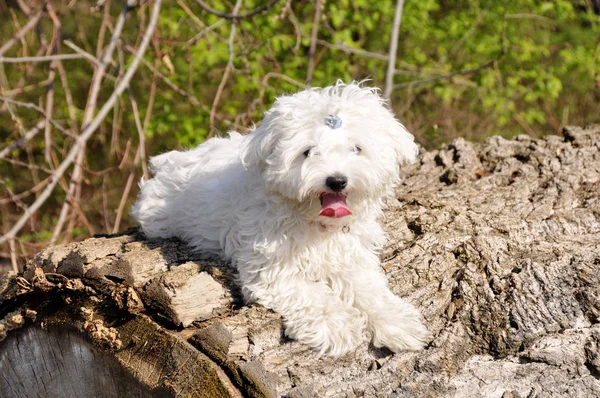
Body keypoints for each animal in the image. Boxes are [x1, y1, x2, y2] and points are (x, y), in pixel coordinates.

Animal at [134, 81, 428, 358]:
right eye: (307, 152)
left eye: (356, 149)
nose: (336, 180)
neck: (315, 222)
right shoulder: (271, 269)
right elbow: (310, 295)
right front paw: (336, 324)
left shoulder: (351, 256)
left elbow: (368, 289)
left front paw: (396, 321)